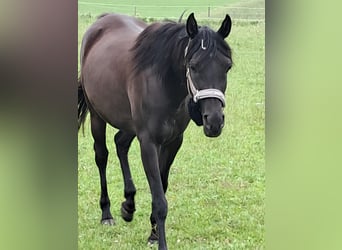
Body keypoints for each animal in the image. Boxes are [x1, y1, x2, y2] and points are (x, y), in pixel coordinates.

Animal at [78, 12, 232, 249]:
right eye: (194, 65)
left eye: (227, 66)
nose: (214, 121)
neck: (164, 83)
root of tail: (101, 20)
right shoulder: (149, 143)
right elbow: (160, 200)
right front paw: (160, 241)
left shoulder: (173, 142)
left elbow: (162, 186)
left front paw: (152, 233)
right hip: (97, 116)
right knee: (102, 156)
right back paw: (107, 213)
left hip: (129, 124)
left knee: (121, 143)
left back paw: (129, 204)